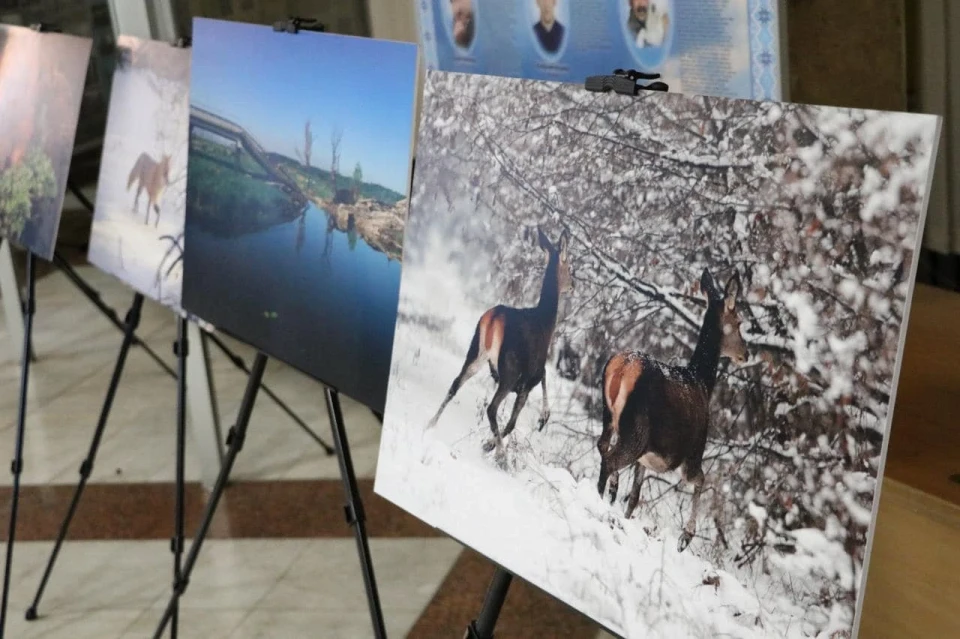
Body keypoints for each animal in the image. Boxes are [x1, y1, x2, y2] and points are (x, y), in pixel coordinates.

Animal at [426, 228, 568, 452]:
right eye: (569, 265)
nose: (572, 286)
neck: (546, 321)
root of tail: (494, 317)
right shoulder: (529, 378)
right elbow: (512, 421)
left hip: (476, 352)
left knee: (455, 384)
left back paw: (430, 424)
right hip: (509, 367)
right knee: (492, 408)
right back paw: (500, 452)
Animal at [596, 268, 748, 552]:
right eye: (740, 321)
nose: (746, 352)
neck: (704, 383)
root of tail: (622, 367)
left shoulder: (646, 458)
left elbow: (634, 497)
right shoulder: (693, 452)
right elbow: (701, 479)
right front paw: (686, 536)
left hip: (611, 417)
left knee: (603, 447)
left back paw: (609, 491)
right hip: (638, 430)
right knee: (610, 458)